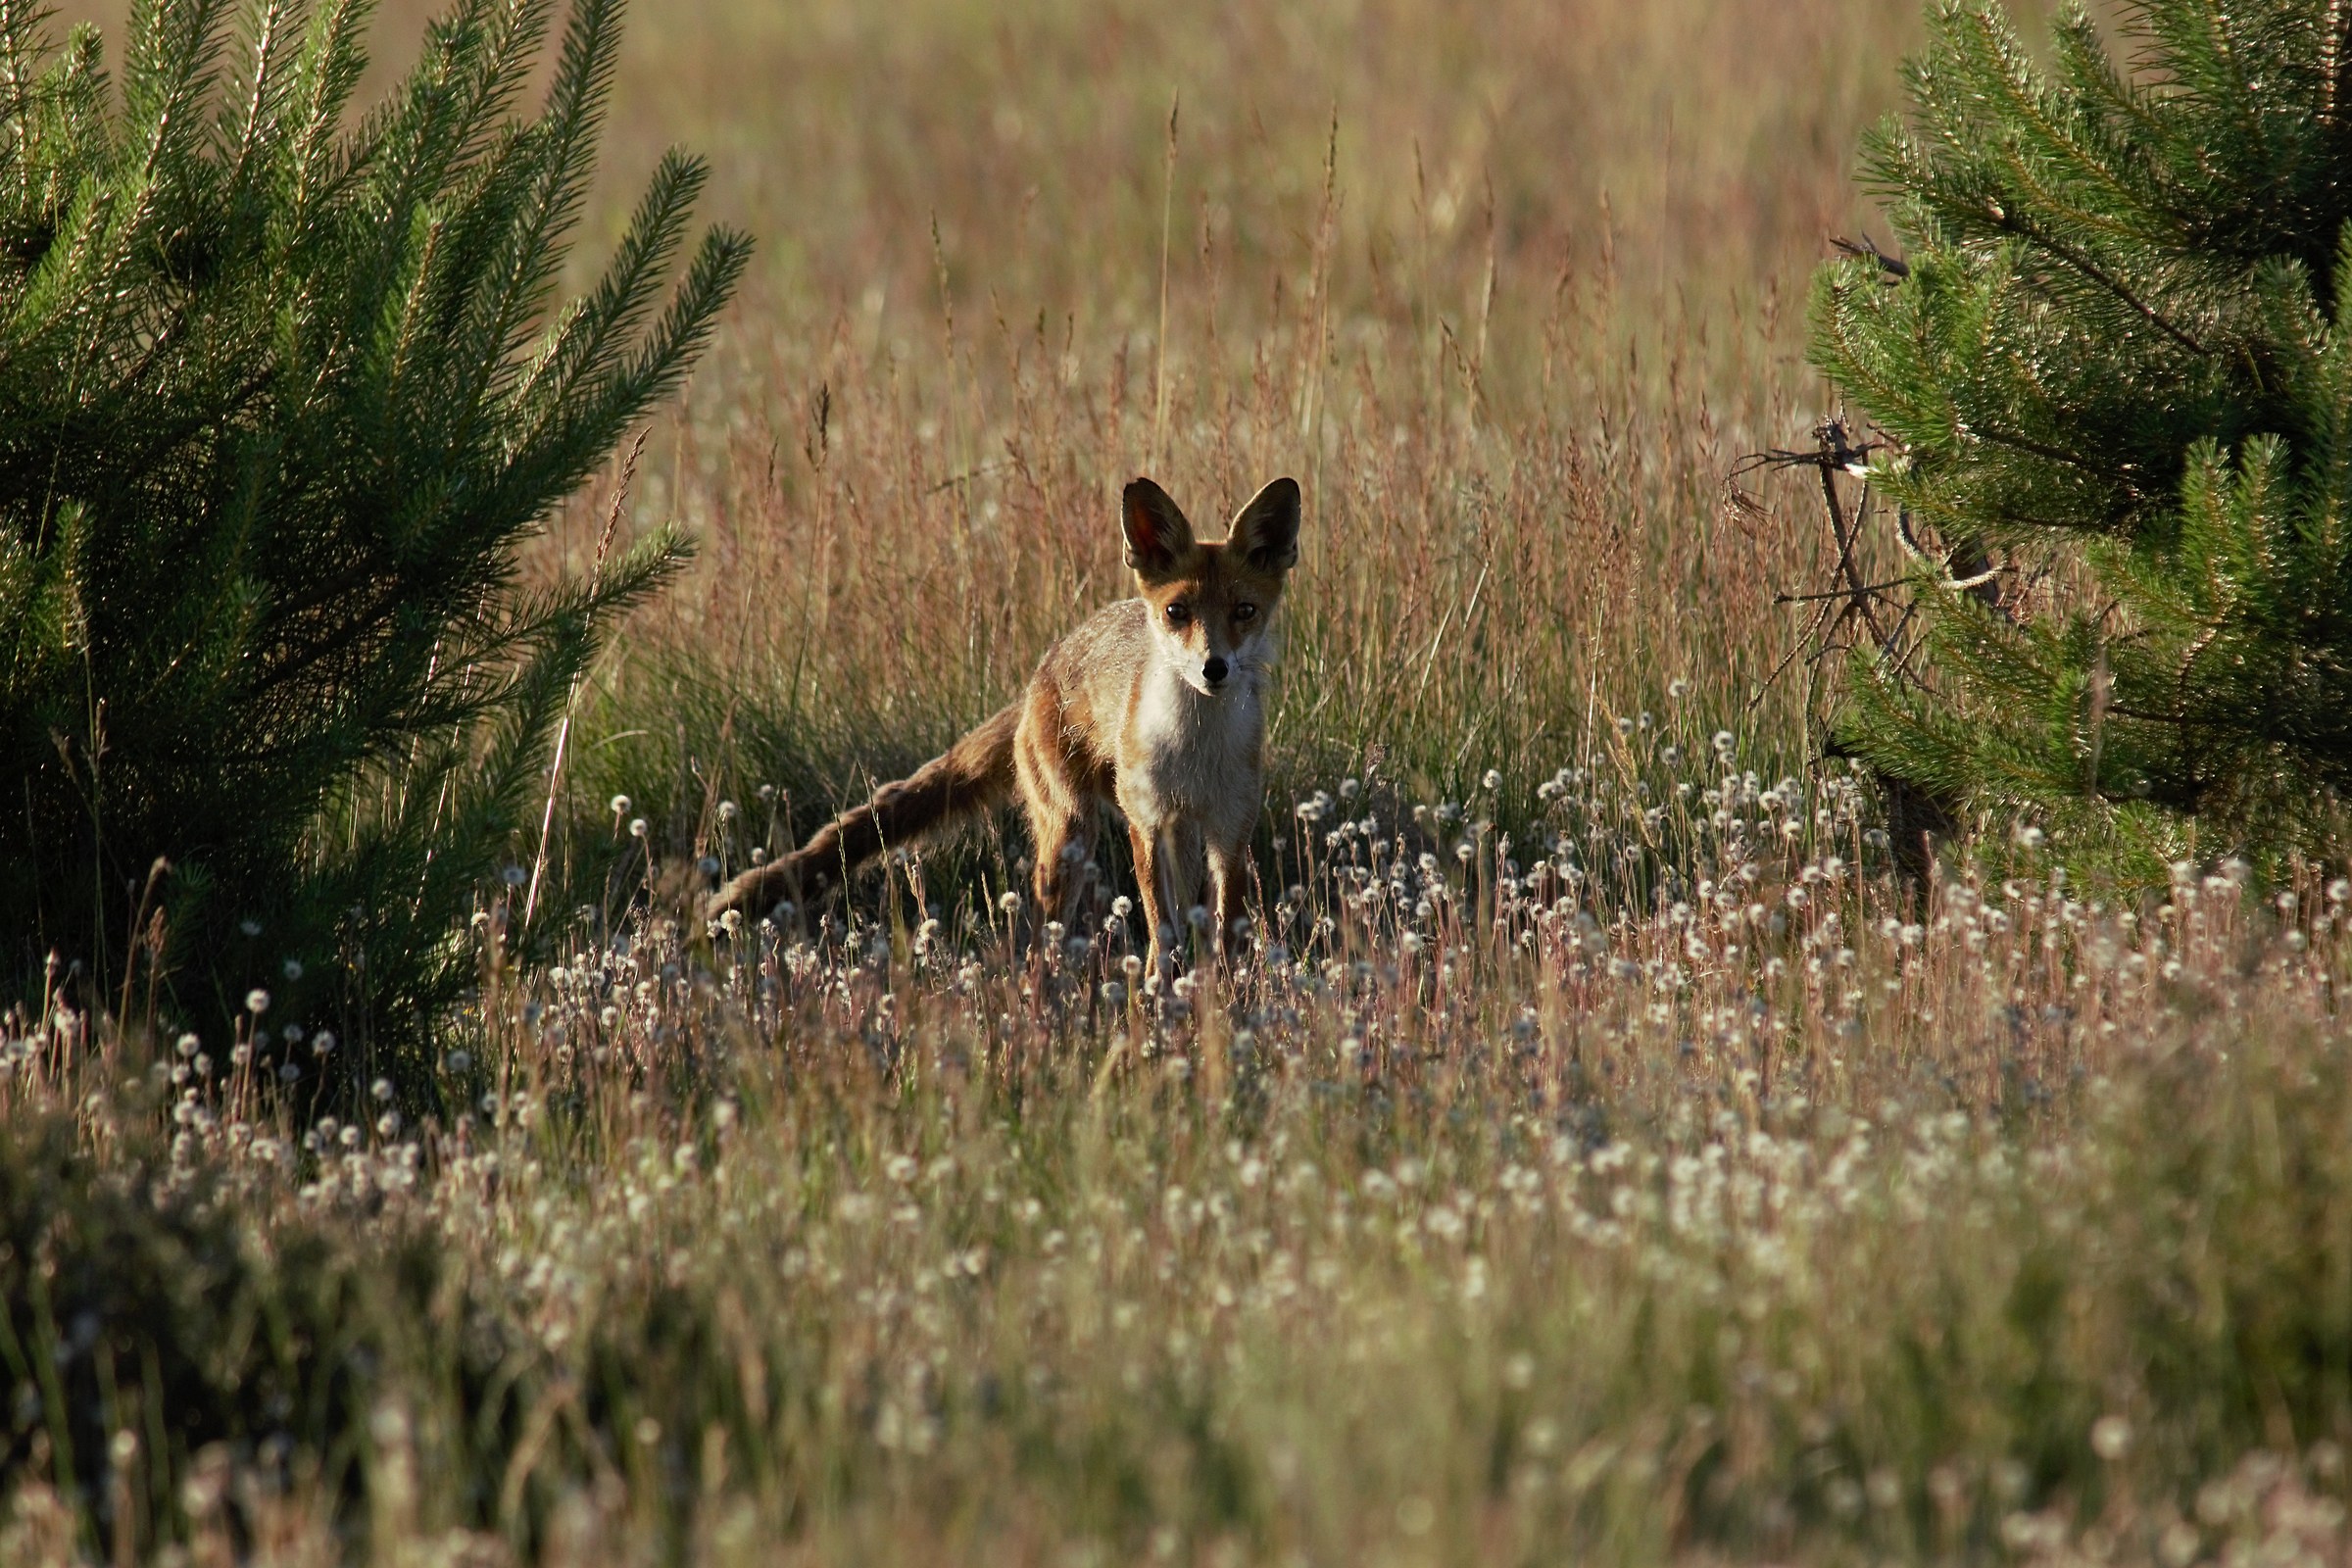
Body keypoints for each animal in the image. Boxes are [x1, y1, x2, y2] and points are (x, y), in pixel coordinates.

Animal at [707, 474, 1303, 982]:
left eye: (1244, 611)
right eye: (1178, 611)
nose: (1213, 668)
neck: (1196, 750)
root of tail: (1039, 672)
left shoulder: (1231, 832)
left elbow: (1225, 935)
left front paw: (1223, 998)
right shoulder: (1147, 823)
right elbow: (1162, 931)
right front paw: (1161, 993)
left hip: (1163, 835)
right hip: (1071, 833)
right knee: (1040, 937)